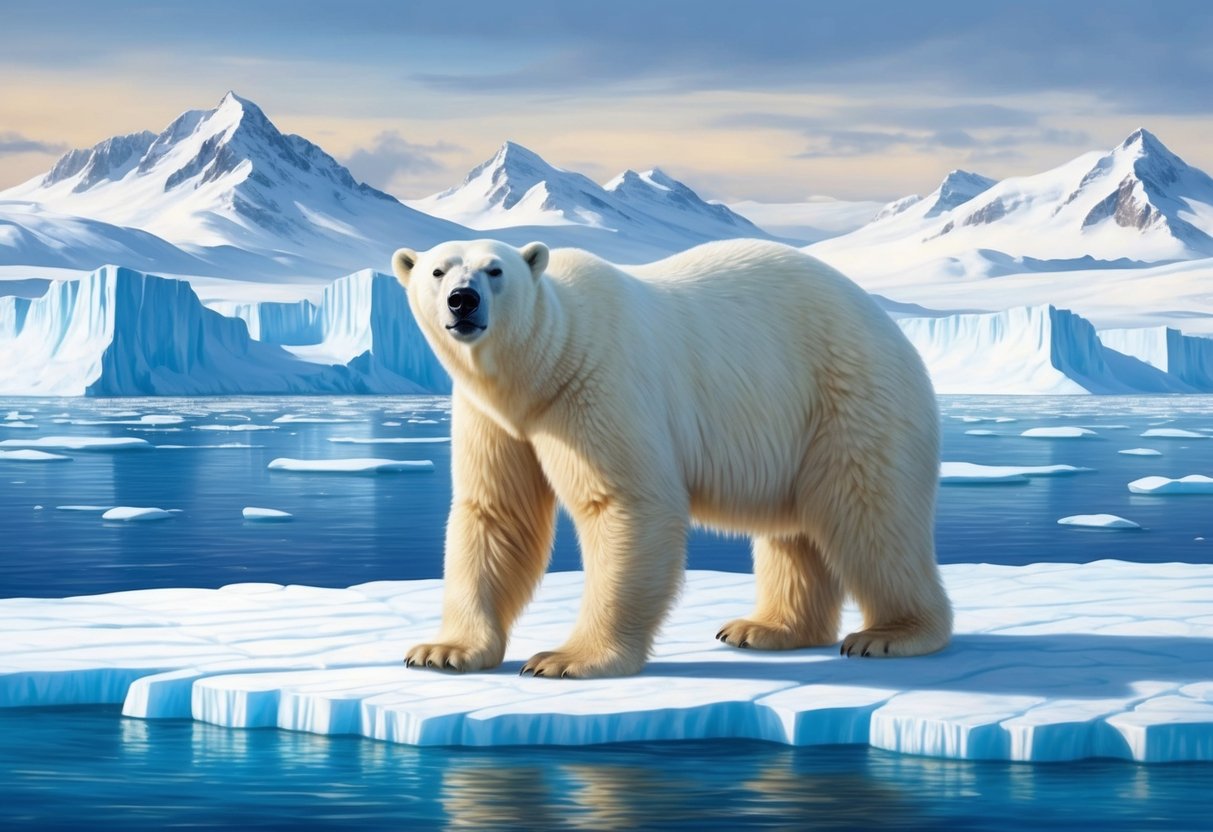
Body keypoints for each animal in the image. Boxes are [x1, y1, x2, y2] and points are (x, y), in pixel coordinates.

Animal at [393, 237, 950, 679]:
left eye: (495, 270)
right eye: (438, 271)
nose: (462, 301)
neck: (544, 366)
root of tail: (889, 325)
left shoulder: (597, 385)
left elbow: (626, 504)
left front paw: (566, 659)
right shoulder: (493, 418)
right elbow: (494, 512)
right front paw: (443, 651)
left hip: (851, 396)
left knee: (870, 514)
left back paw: (890, 634)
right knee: (795, 531)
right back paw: (765, 627)